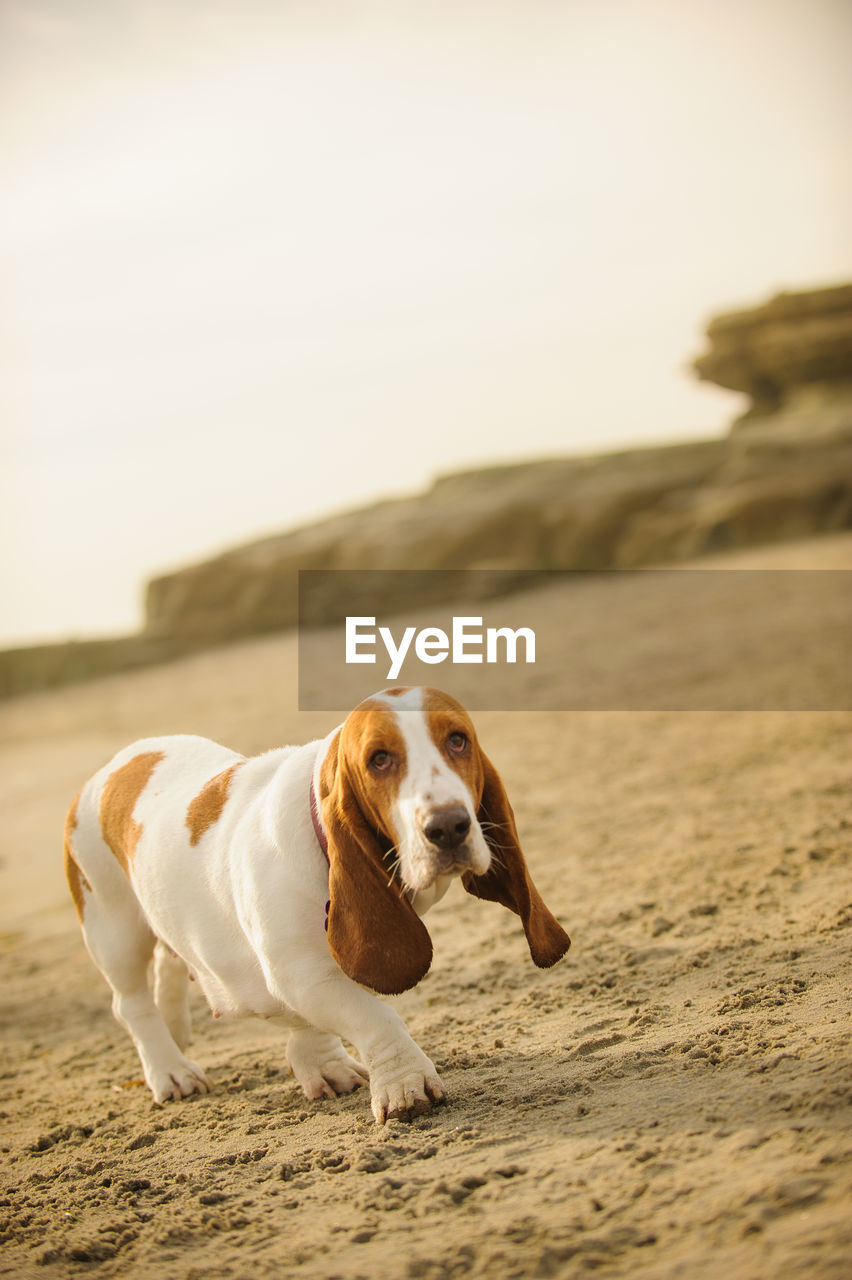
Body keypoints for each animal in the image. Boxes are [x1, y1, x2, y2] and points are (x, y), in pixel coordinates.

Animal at [64, 691, 570, 1121]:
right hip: (114, 930)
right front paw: (405, 1086)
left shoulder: (305, 975)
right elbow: (376, 1018)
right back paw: (171, 1071)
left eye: (458, 740)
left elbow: (310, 1019)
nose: (448, 827)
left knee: (170, 963)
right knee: (131, 1004)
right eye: (379, 759)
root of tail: (108, 769)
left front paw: (323, 1065)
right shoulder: (302, 970)